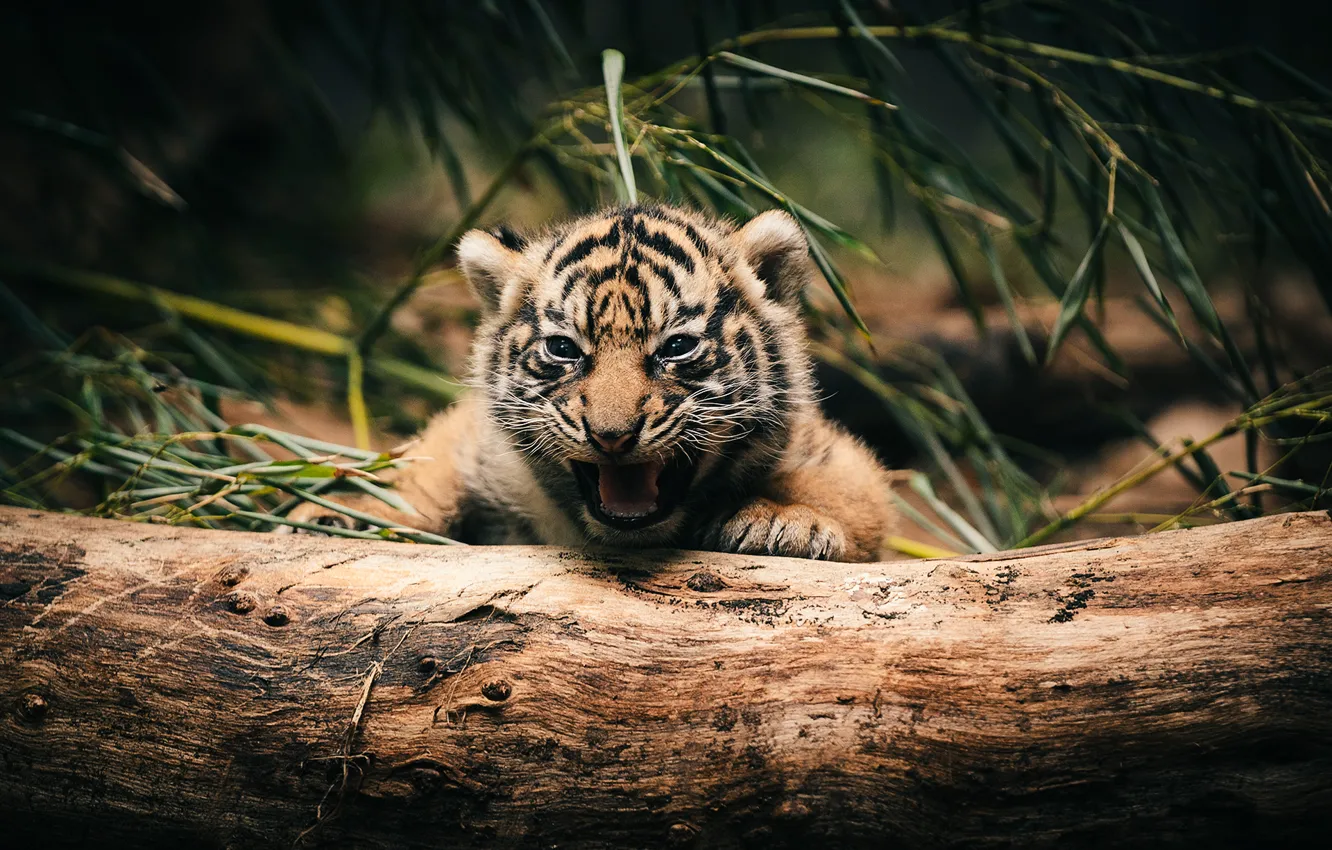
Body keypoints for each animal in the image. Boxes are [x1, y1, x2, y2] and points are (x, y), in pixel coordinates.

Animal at [289, 204, 895, 561]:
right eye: (564, 349)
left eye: (676, 347)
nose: (611, 436)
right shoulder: (472, 439)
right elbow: (423, 468)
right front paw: (340, 513)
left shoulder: (832, 452)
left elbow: (849, 491)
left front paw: (781, 522)